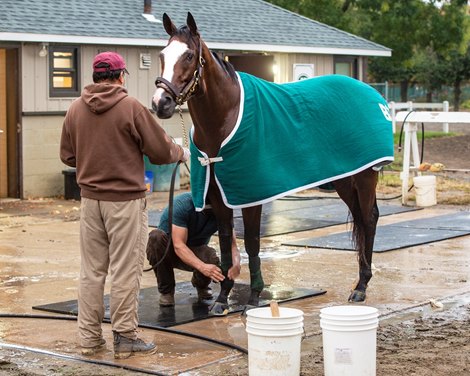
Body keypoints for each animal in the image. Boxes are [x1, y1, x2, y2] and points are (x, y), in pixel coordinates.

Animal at [152, 13, 394, 316]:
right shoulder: (219, 196)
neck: (225, 119)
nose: (160, 103)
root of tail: (374, 95)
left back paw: (361, 287)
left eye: (188, 55)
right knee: (361, 219)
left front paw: (254, 297)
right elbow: (226, 241)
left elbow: (253, 243)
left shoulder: (250, 195)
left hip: (364, 177)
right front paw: (222, 299)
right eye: (162, 55)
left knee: (370, 219)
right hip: (343, 179)